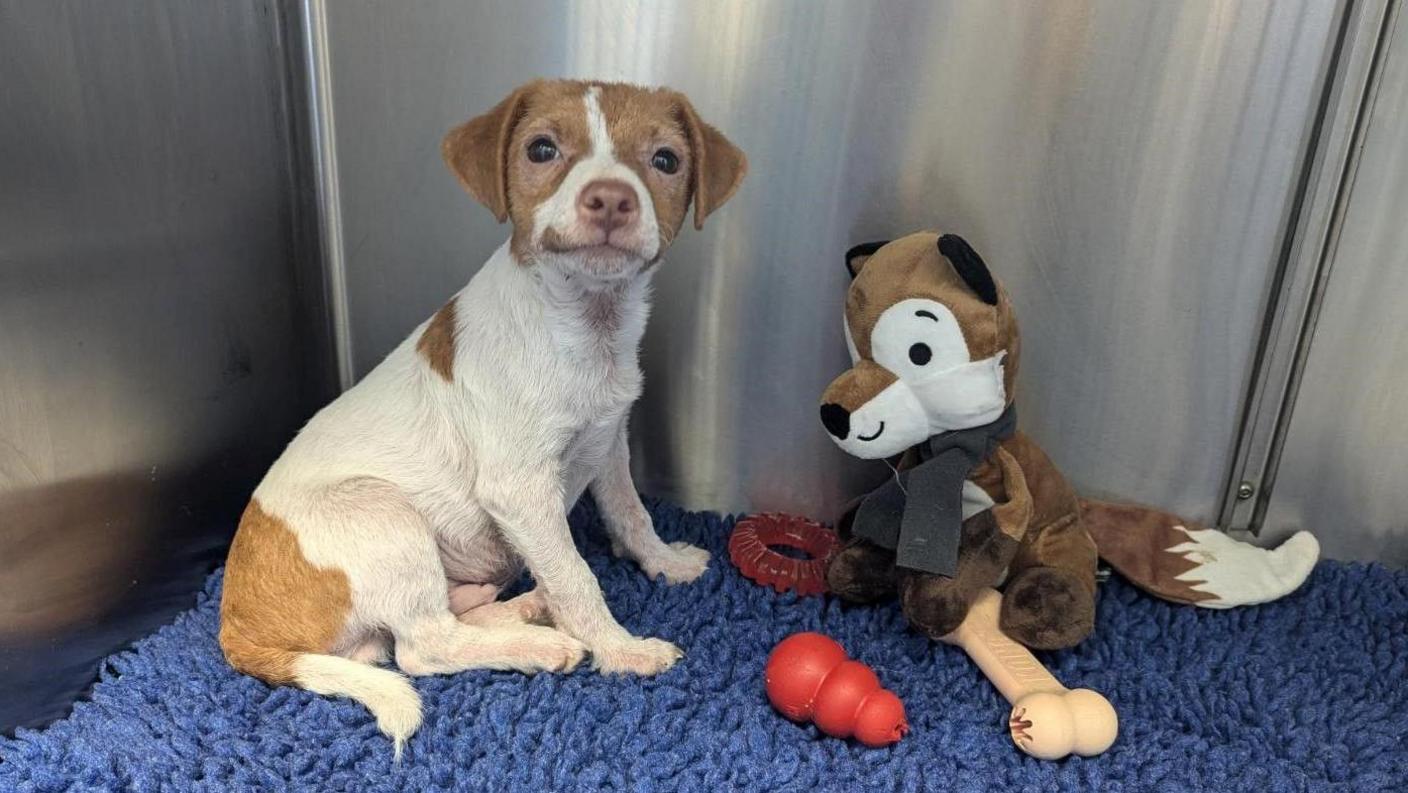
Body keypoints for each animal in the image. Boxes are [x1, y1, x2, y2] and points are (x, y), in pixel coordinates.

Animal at [216, 82, 749, 754]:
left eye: (666, 161)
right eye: (541, 149)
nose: (610, 198)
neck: (584, 327)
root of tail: (237, 623)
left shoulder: (609, 444)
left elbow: (631, 514)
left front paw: (666, 563)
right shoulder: (519, 490)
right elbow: (577, 576)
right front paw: (621, 651)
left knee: (422, 629)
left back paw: (523, 608)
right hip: (385, 515)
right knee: (421, 647)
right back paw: (537, 644)